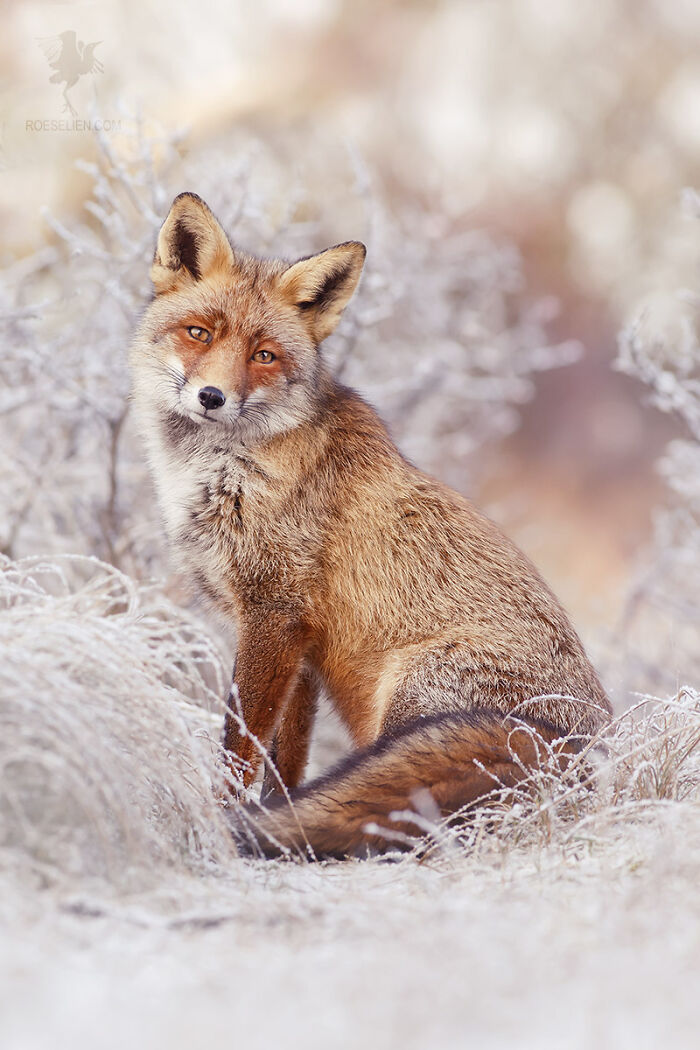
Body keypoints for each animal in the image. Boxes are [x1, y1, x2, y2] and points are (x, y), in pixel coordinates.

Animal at [130, 191, 612, 859]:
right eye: (199, 332)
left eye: (263, 355)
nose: (211, 397)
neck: (227, 472)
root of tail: (588, 758)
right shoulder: (301, 647)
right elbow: (285, 762)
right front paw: (278, 816)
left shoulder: (274, 614)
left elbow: (239, 749)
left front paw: (225, 822)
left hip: (410, 693)